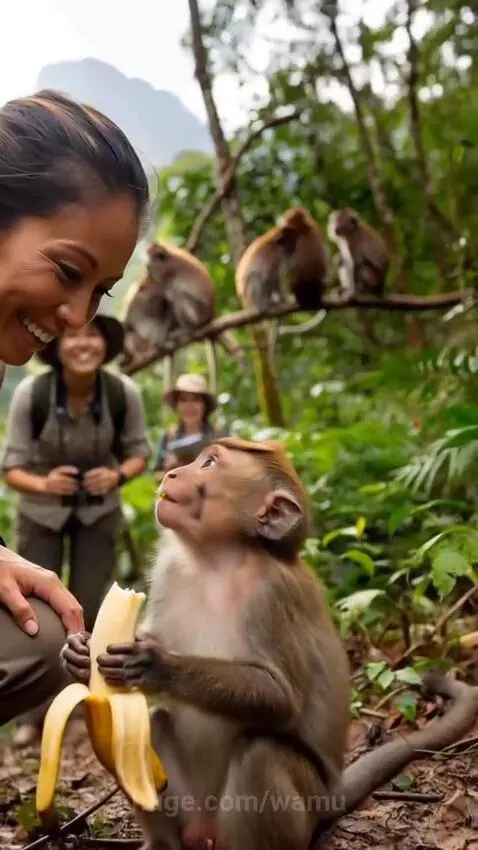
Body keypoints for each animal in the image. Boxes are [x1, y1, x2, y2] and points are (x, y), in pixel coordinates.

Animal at [62, 437, 478, 850]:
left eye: (209, 463)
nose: (172, 472)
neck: (219, 560)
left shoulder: (274, 595)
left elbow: (280, 696)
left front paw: (153, 663)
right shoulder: (171, 570)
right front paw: (79, 654)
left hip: (301, 807)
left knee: (259, 753)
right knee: (153, 724)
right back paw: (164, 844)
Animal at [236, 207, 330, 369]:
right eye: (291, 239)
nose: (293, 247)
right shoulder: (275, 256)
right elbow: (270, 278)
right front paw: (280, 300)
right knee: (256, 279)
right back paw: (264, 307)